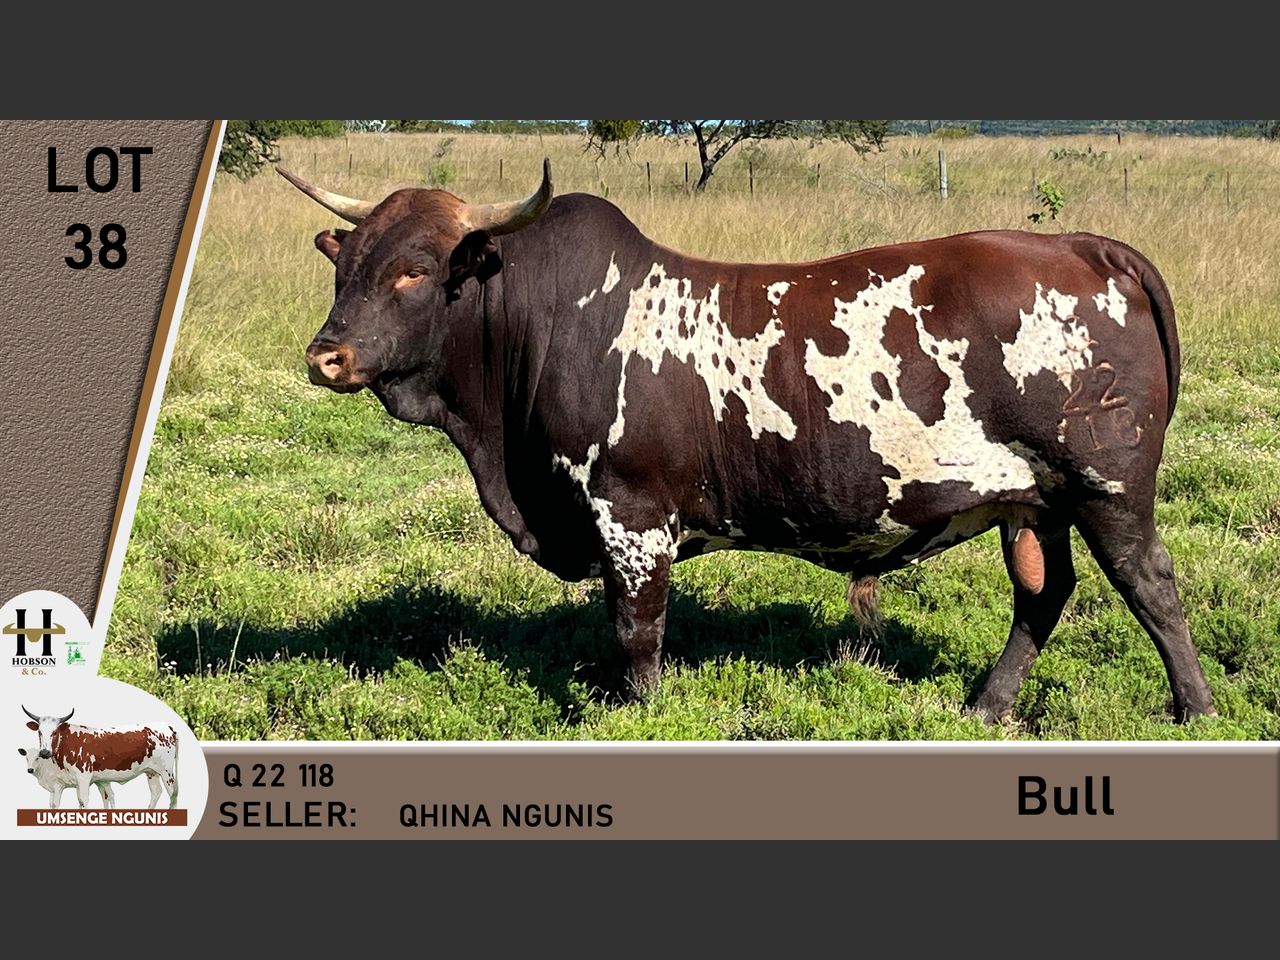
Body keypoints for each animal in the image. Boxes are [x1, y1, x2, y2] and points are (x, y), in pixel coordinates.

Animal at [22, 707, 180, 808]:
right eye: (39, 732)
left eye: (54, 732)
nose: (44, 752)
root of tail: (167, 726)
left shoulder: (83, 777)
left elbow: (83, 801)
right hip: (151, 771)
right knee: (156, 792)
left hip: (167, 772)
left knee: (173, 794)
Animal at [276, 158, 1216, 723]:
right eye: (345, 264)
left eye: (415, 270)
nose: (328, 355)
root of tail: (1086, 246)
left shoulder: (632, 514)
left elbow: (638, 629)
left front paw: (639, 712)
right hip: (1034, 500)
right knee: (1043, 597)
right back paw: (988, 706)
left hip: (1106, 487)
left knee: (1151, 585)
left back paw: (1196, 708)